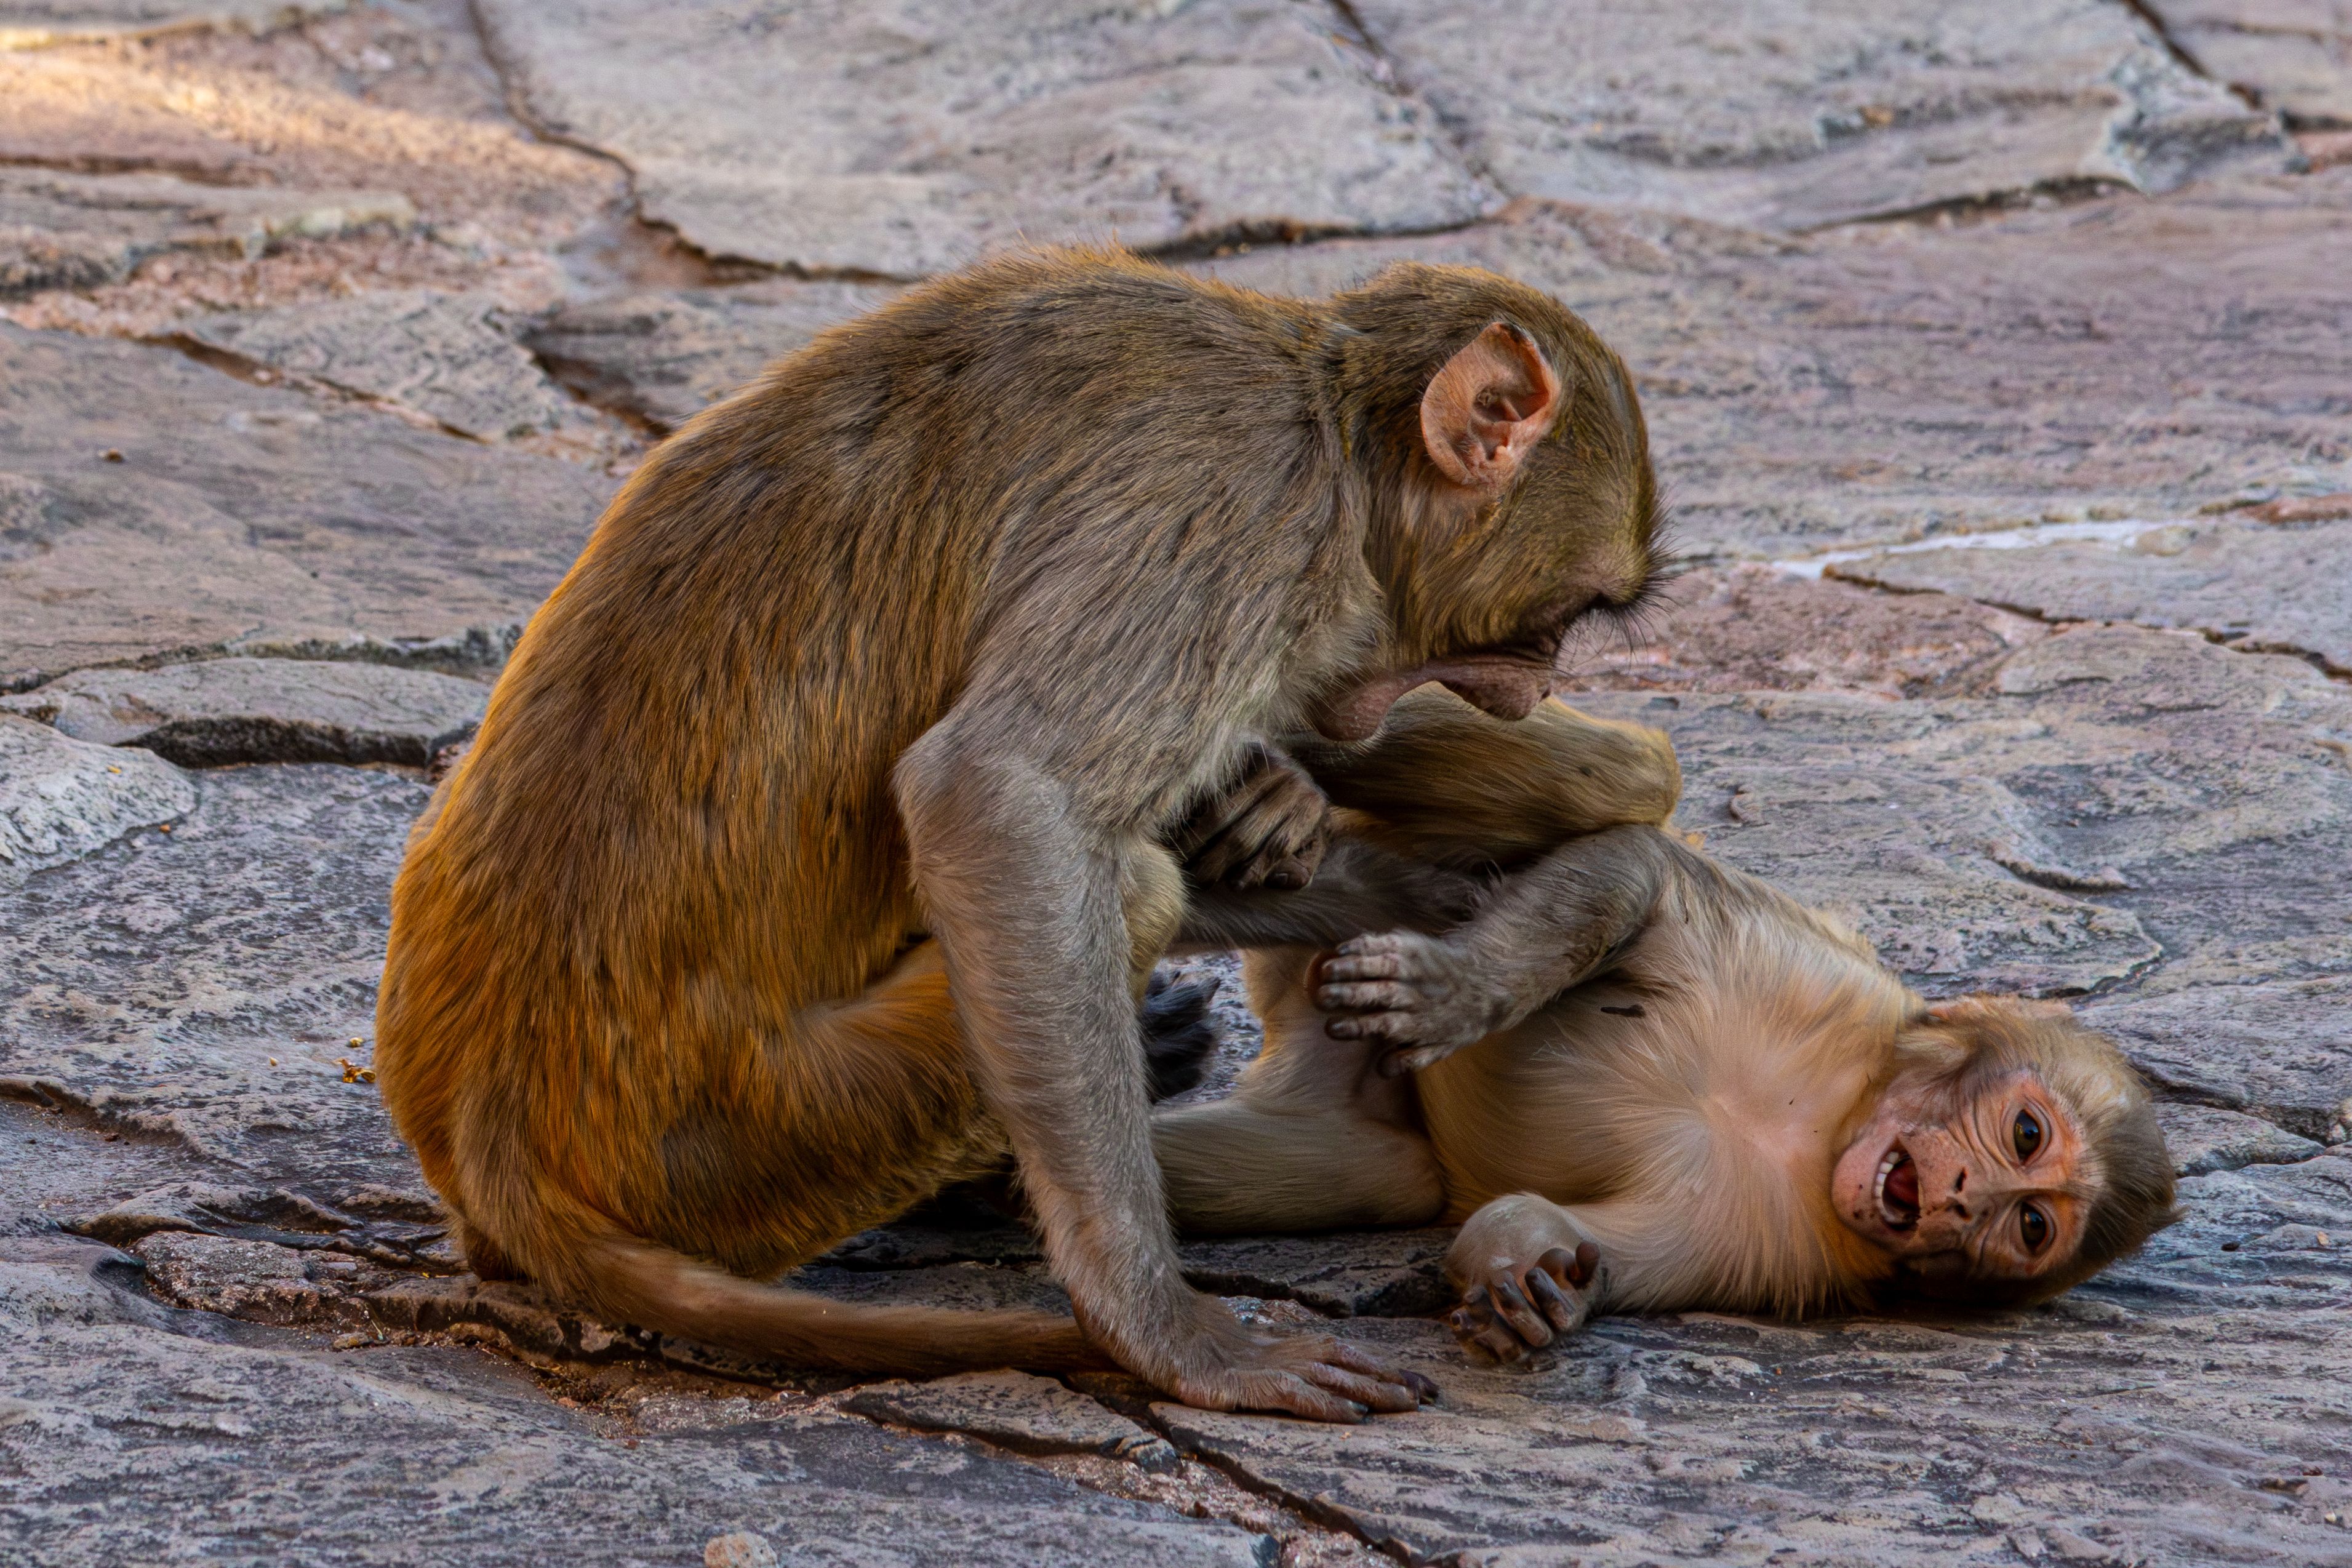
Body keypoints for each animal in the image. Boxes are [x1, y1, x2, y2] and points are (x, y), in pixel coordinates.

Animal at [374, 246, 1669, 1421]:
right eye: (1559, 620)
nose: (1528, 696)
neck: (1332, 422)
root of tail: (494, 1141)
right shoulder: (1242, 517)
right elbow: (998, 796)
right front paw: (1161, 1328)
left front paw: (1458, 916)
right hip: (753, 1138)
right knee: (1128, 885)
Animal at [1151, 761, 2179, 1360]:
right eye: (2024, 1133)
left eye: (2029, 1225)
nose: (1963, 1196)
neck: (1816, 1131)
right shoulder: (1822, 984)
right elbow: (1639, 871)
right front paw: (1463, 990)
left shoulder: (1773, 1249)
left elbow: (1582, 1242)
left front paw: (1535, 1282)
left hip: (1354, 1126)